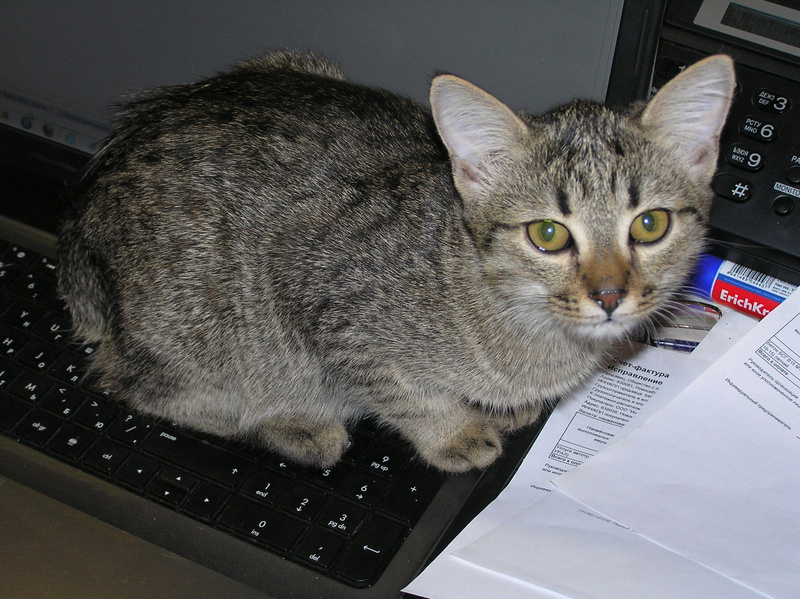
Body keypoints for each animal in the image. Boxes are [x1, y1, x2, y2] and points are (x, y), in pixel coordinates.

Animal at [57, 50, 735, 473]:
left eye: (650, 225)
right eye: (547, 235)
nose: (610, 294)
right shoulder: (323, 302)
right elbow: (405, 393)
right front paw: (454, 431)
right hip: (199, 329)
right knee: (126, 378)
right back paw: (294, 423)